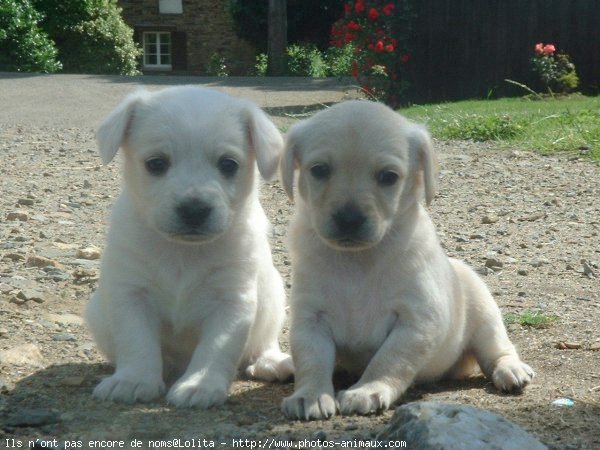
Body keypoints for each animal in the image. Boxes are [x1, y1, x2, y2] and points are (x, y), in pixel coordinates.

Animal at [86, 84, 292, 408]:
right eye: (156, 164)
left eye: (228, 164)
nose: (194, 209)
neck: (183, 251)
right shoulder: (131, 295)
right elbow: (136, 341)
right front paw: (133, 380)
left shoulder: (232, 301)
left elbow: (216, 347)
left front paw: (200, 384)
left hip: (273, 296)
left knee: (264, 341)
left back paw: (271, 362)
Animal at [282, 100, 536, 420]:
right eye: (319, 170)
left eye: (389, 177)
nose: (349, 219)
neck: (358, 260)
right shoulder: (309, 319)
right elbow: (311, 360)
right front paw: (311, 394)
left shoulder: (417, 322)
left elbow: (390, 360)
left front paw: (368, 389)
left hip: (484, 314)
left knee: (497, 349)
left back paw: (511, 370)